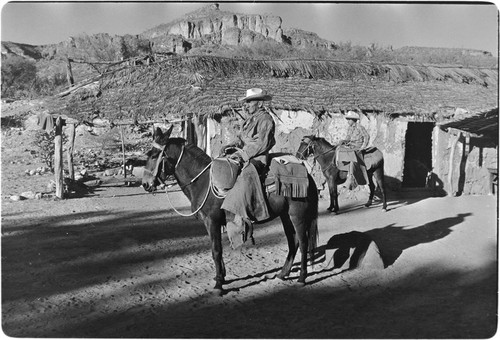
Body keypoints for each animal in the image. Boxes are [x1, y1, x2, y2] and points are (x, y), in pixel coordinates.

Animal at [143, 126, 318, 294]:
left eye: (154, 155)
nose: (145, 184)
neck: (204, 181)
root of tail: (309, 176)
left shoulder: (211, 221)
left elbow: (216, 251)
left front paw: (219, 285)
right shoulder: (214, 223)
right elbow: (217, 250)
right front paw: (220, 278)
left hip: (297, 215)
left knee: (303, 242)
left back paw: (302, 278)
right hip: (285, 216)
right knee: (293, 241)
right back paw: (283, 273)